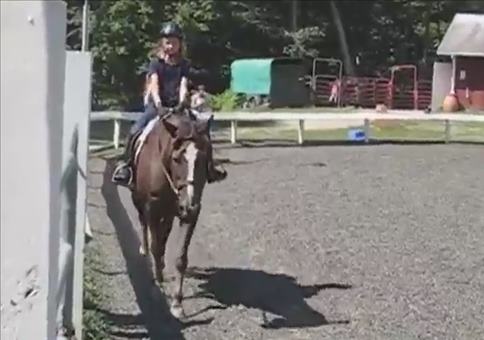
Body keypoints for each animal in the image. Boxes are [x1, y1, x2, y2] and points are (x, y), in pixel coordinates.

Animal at [130, 109, 210, 318]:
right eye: (176, 158)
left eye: (204, 158)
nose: (189, 204)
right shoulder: (152, 209)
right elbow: (156, 248)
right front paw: (157, 287)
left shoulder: (190, 215)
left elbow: (180, 258)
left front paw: (177, 303)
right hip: (139, 201)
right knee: (144, 226)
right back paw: (144, 249)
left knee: (163, 235)